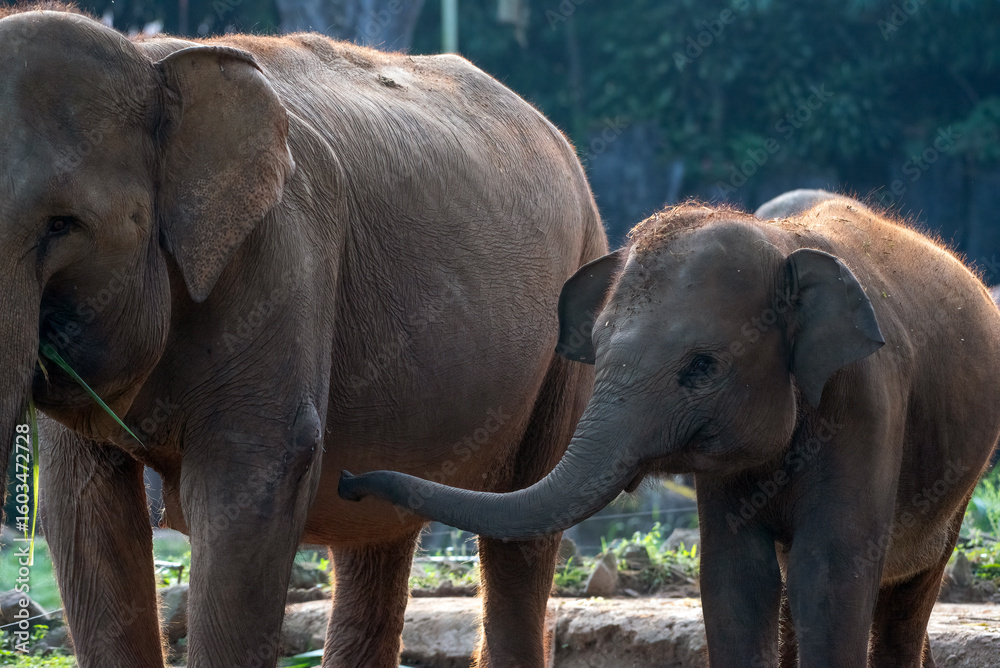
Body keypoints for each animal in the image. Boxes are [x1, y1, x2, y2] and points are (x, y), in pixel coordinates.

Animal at [0, 7, 607, 668]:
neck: (155, 62)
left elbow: (256, 473)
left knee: (522, 524)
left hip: (573, 316)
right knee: (380, 530)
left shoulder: (284, 252)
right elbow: (82, 505)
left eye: (63, 225)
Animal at [342, 199, 1000, 666]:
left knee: (908, 593)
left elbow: (829, 572)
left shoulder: (866, 402)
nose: (348, 479)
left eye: (702, 367)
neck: (781, 240)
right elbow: (736, 577)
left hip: (959, 478)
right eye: (597, 348)